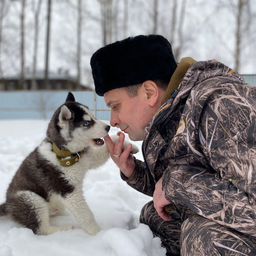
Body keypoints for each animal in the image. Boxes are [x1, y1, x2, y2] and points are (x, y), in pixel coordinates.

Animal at [0, 92, 112, 236]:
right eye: (87, 123)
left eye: (94, 117)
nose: (108, 127)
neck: (66, 153)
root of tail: (7, 205)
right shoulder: (68, 189)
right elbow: (85, 215)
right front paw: (98, 233)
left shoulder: (88, 158)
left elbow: (100, 155)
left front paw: (124, 143)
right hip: (31, 199)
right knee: (42, 229)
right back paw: (62, 229)